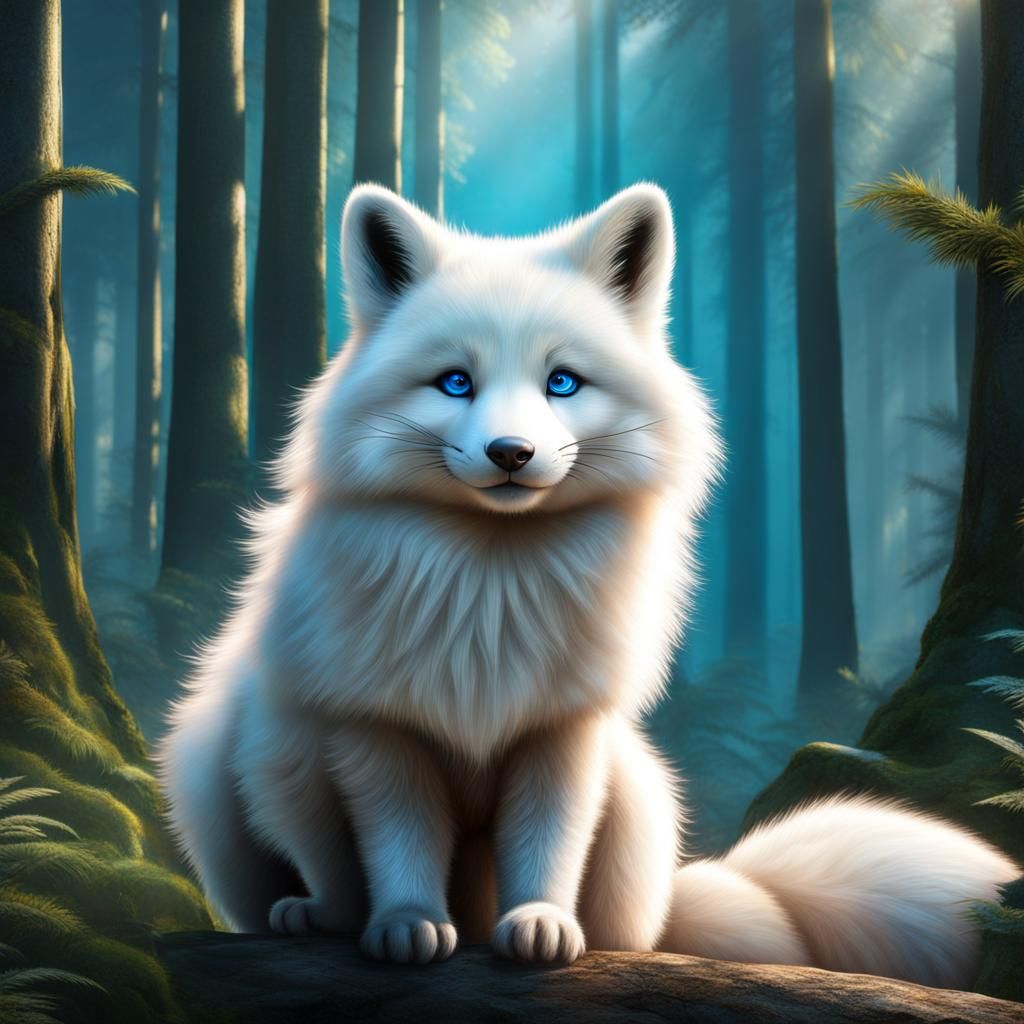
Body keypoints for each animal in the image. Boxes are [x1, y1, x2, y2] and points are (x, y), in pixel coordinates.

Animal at [157, 182, 1017, 988]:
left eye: (562, 382)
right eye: (455, 383)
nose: (511, 452)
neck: (490, 591)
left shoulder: (565, 731)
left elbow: (549, 842)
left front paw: (540, 923)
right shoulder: (377, 730)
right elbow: (399, 841)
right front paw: (406, 923)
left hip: (637, 795)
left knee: (631, 930)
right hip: (237, 757)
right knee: (323, 875)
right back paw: (314, 914)